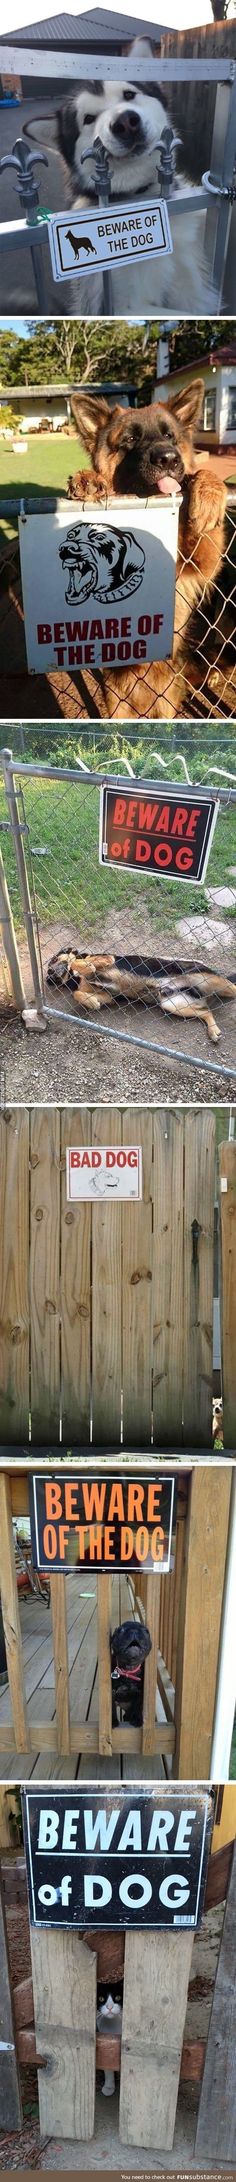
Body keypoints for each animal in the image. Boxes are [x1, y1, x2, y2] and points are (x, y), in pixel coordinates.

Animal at [46, 946, 236, 1047]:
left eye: (54, 959)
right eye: (49, 970)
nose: (50, 974)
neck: (75, 978)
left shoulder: (107, 960)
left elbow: (79, 962)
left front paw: (82, 965)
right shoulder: (108, 995)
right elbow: (78, 993)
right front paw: (91, 1003)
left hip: (210, 980)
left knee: (232, 988)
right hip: (172, 1004)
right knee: (206, 1011)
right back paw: (213, 1032)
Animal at [65, 375, 227, 715]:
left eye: (169, 436)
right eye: (129, 439)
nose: (168, 459)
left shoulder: (200, 565)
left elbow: (204, 490)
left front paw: (208, 492)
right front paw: (89, 479)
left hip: (166, 701)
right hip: (117, 702)